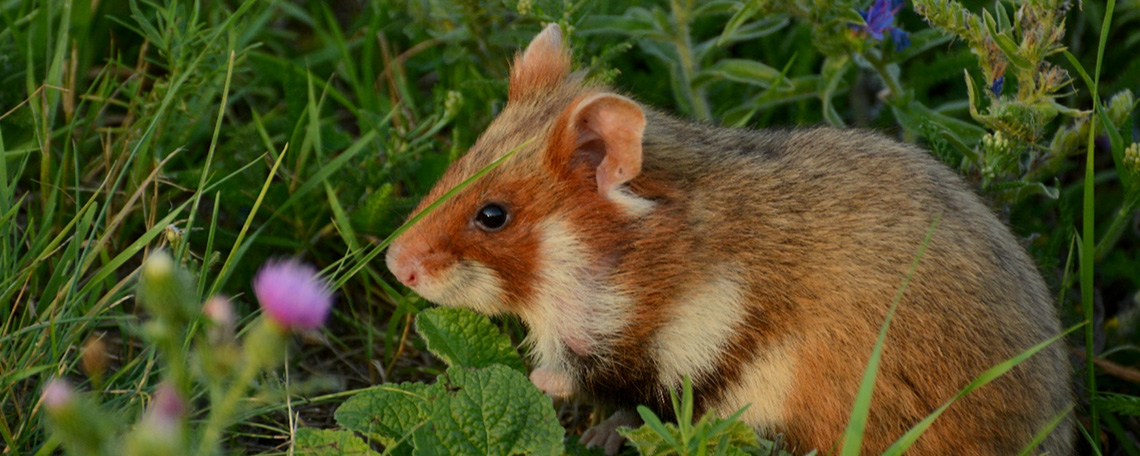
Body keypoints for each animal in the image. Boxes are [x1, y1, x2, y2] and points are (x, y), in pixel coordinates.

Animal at [385, 24, 1073, 455]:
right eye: (462, 161)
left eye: (493, 215)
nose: (394, 263)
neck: (622, 260)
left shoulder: (681, 344)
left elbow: (603, 384)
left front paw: (544, 386)